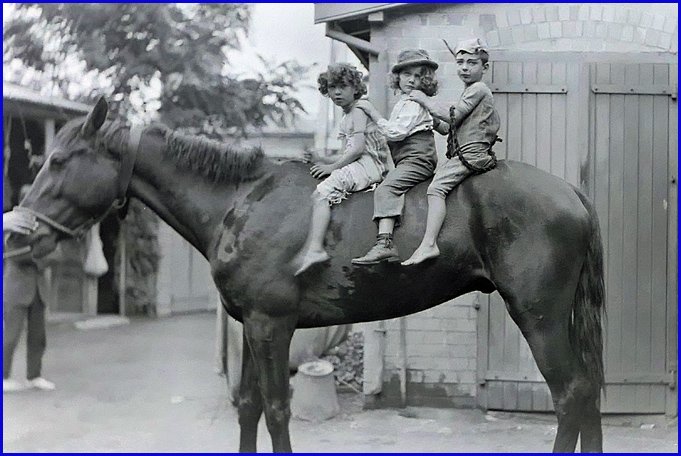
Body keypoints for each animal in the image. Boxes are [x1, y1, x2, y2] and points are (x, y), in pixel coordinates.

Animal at [10, 97, 604, 452]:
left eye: (59, 161)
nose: (19, 235)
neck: (241, 201)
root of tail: (571, 193)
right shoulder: (251, 328)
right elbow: (248, 408)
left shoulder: (271, 327)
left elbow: (276, 411)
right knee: (589, 391)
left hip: (539, 316)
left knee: (571, 393)